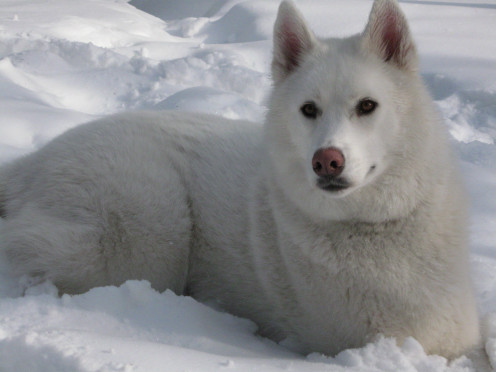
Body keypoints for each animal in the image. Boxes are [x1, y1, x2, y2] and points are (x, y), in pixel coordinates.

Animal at [0, 0, 480, 360]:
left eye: (367, 106)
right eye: (309, 110)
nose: (326, 161)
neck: (377, 225)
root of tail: (30, 163)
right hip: (143, 239)